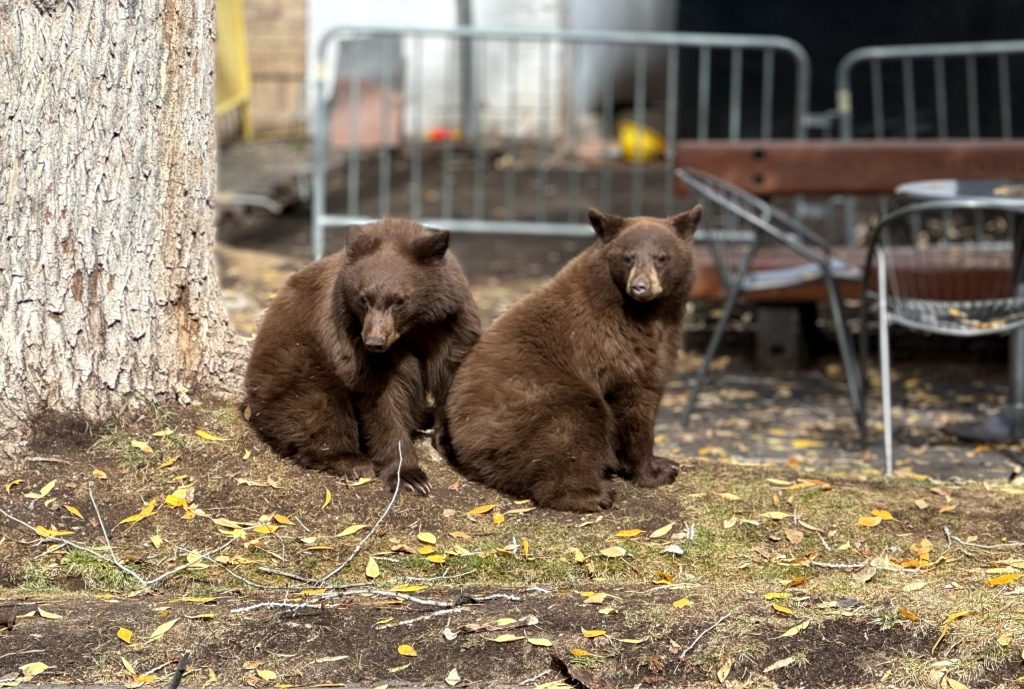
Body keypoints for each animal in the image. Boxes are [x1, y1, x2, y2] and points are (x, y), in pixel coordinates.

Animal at [244, 218, 481, 495]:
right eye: (363, 298)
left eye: (399, 300)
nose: (374, 341)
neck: (414, 328)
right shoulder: (349, 336)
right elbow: (382, 396)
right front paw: (410, 476)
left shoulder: (450, 323)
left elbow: (452, 373)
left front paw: (449, 441)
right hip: (293, 372)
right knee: (317, 409)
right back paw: (352, 460)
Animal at [436, 206, 702, 512]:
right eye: (628, 257)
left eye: (662, 257)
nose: (640, 287)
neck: (648, 315)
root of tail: (459, 436)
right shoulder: (614, 347)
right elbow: (634, 405)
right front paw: (656, 472)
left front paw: (663, 461)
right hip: (541, 403)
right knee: (569, 431)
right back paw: (594, 494)